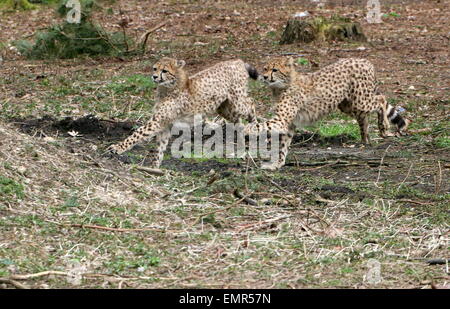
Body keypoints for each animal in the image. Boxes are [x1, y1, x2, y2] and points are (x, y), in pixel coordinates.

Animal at [107, 58, 258, 167]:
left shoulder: (156, 122)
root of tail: (236, 61)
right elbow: (160, 147)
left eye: (165, 71)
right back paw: (241, 137)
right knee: (238, 120)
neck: (168, 87)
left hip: (237, 102)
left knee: (251, 103)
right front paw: (155, 167)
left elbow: (137, 134)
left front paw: (117, 147)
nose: (154, 76)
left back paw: (255, 127)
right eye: (155, 68)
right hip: (225, 109)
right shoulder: (165, 124)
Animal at [246, 56, 412, 170]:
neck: (282, 86)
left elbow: (259, 126)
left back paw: (383, 126)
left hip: (361, 99)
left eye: (274, 70)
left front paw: (245, 129)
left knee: (381, 100)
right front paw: (277, 163)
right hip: (348, 105)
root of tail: (364, 60)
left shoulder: (281, 119)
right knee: (364, 116)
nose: (264, 77)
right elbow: (282, 145)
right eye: (265, 68)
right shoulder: (288, 123)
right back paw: (366, 138)